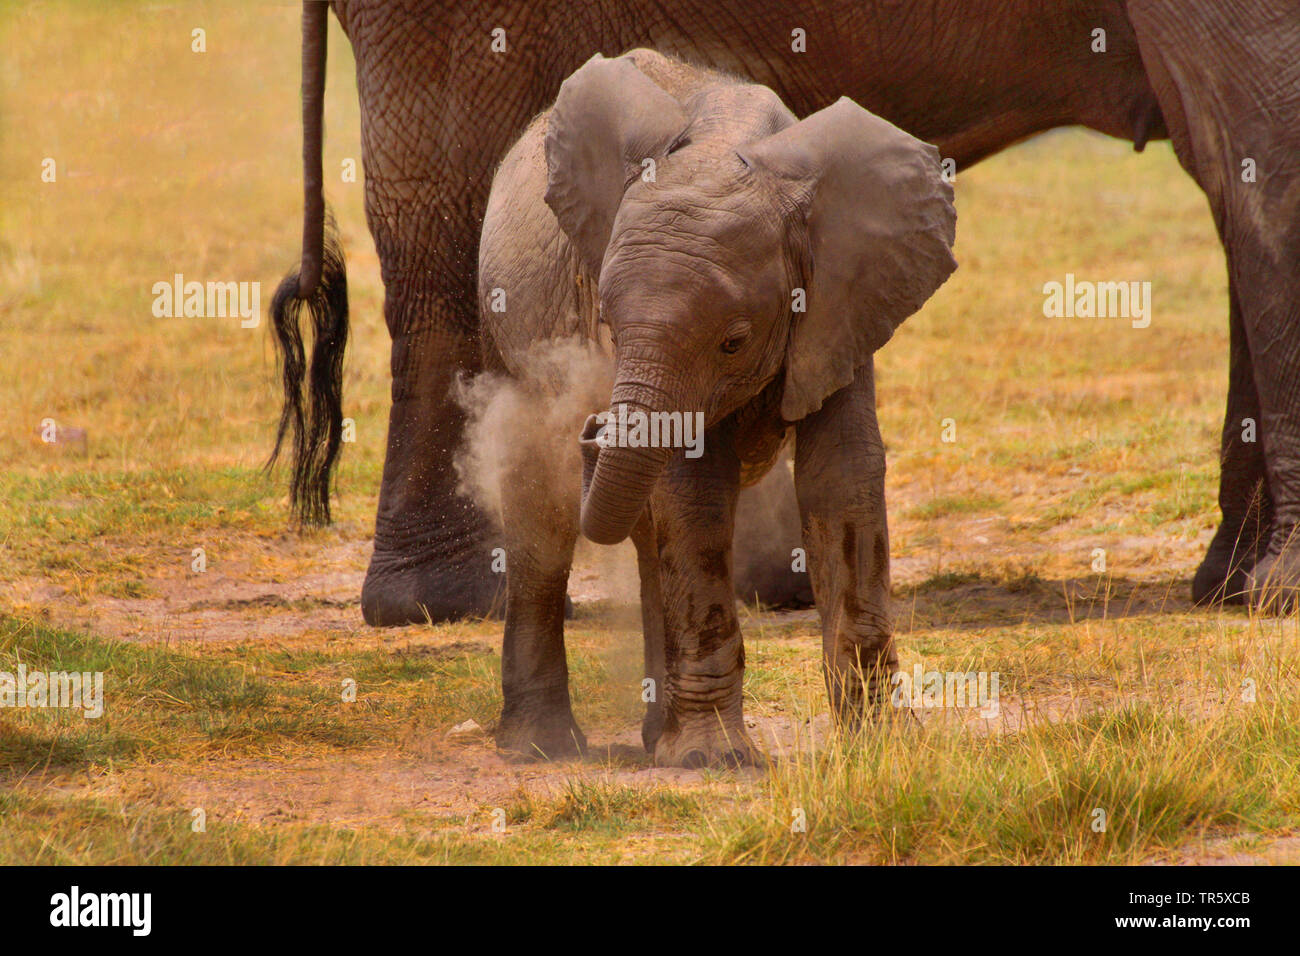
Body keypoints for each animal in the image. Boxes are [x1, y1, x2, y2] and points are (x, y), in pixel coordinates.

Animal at [268, 1, 1300, 622]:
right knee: (441, 225)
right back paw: (443, 603)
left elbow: (1243, 173)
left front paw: (1240, 589)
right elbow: (1265, 153)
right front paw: (1275, 593)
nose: (599, 430)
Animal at [474, 50, 957, 764]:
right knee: (543, 512)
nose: (594, 424)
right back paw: (543, 748)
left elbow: (842, 476)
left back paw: (653, 739)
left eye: (734, 341)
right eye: (606, 324)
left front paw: (884, 745)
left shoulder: (843, 299)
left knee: (643, 533)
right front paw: (713, 760)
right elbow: (694, 493)